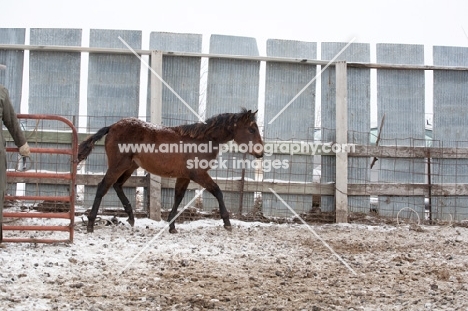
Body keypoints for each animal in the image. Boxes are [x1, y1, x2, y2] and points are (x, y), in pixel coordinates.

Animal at [78, 109, 266, 234]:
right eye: (251, 129)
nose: (261, 152)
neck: (203, 139)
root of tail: (112, 126)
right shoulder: (198, 174)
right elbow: (217, 191)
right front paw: (227, 221)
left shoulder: (184, 177)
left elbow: (178, 197)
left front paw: (172, 226)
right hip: (118, 165)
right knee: (103, 186)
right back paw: (90, 224)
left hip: (130, 166)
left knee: (117, 185)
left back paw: (131, 218)